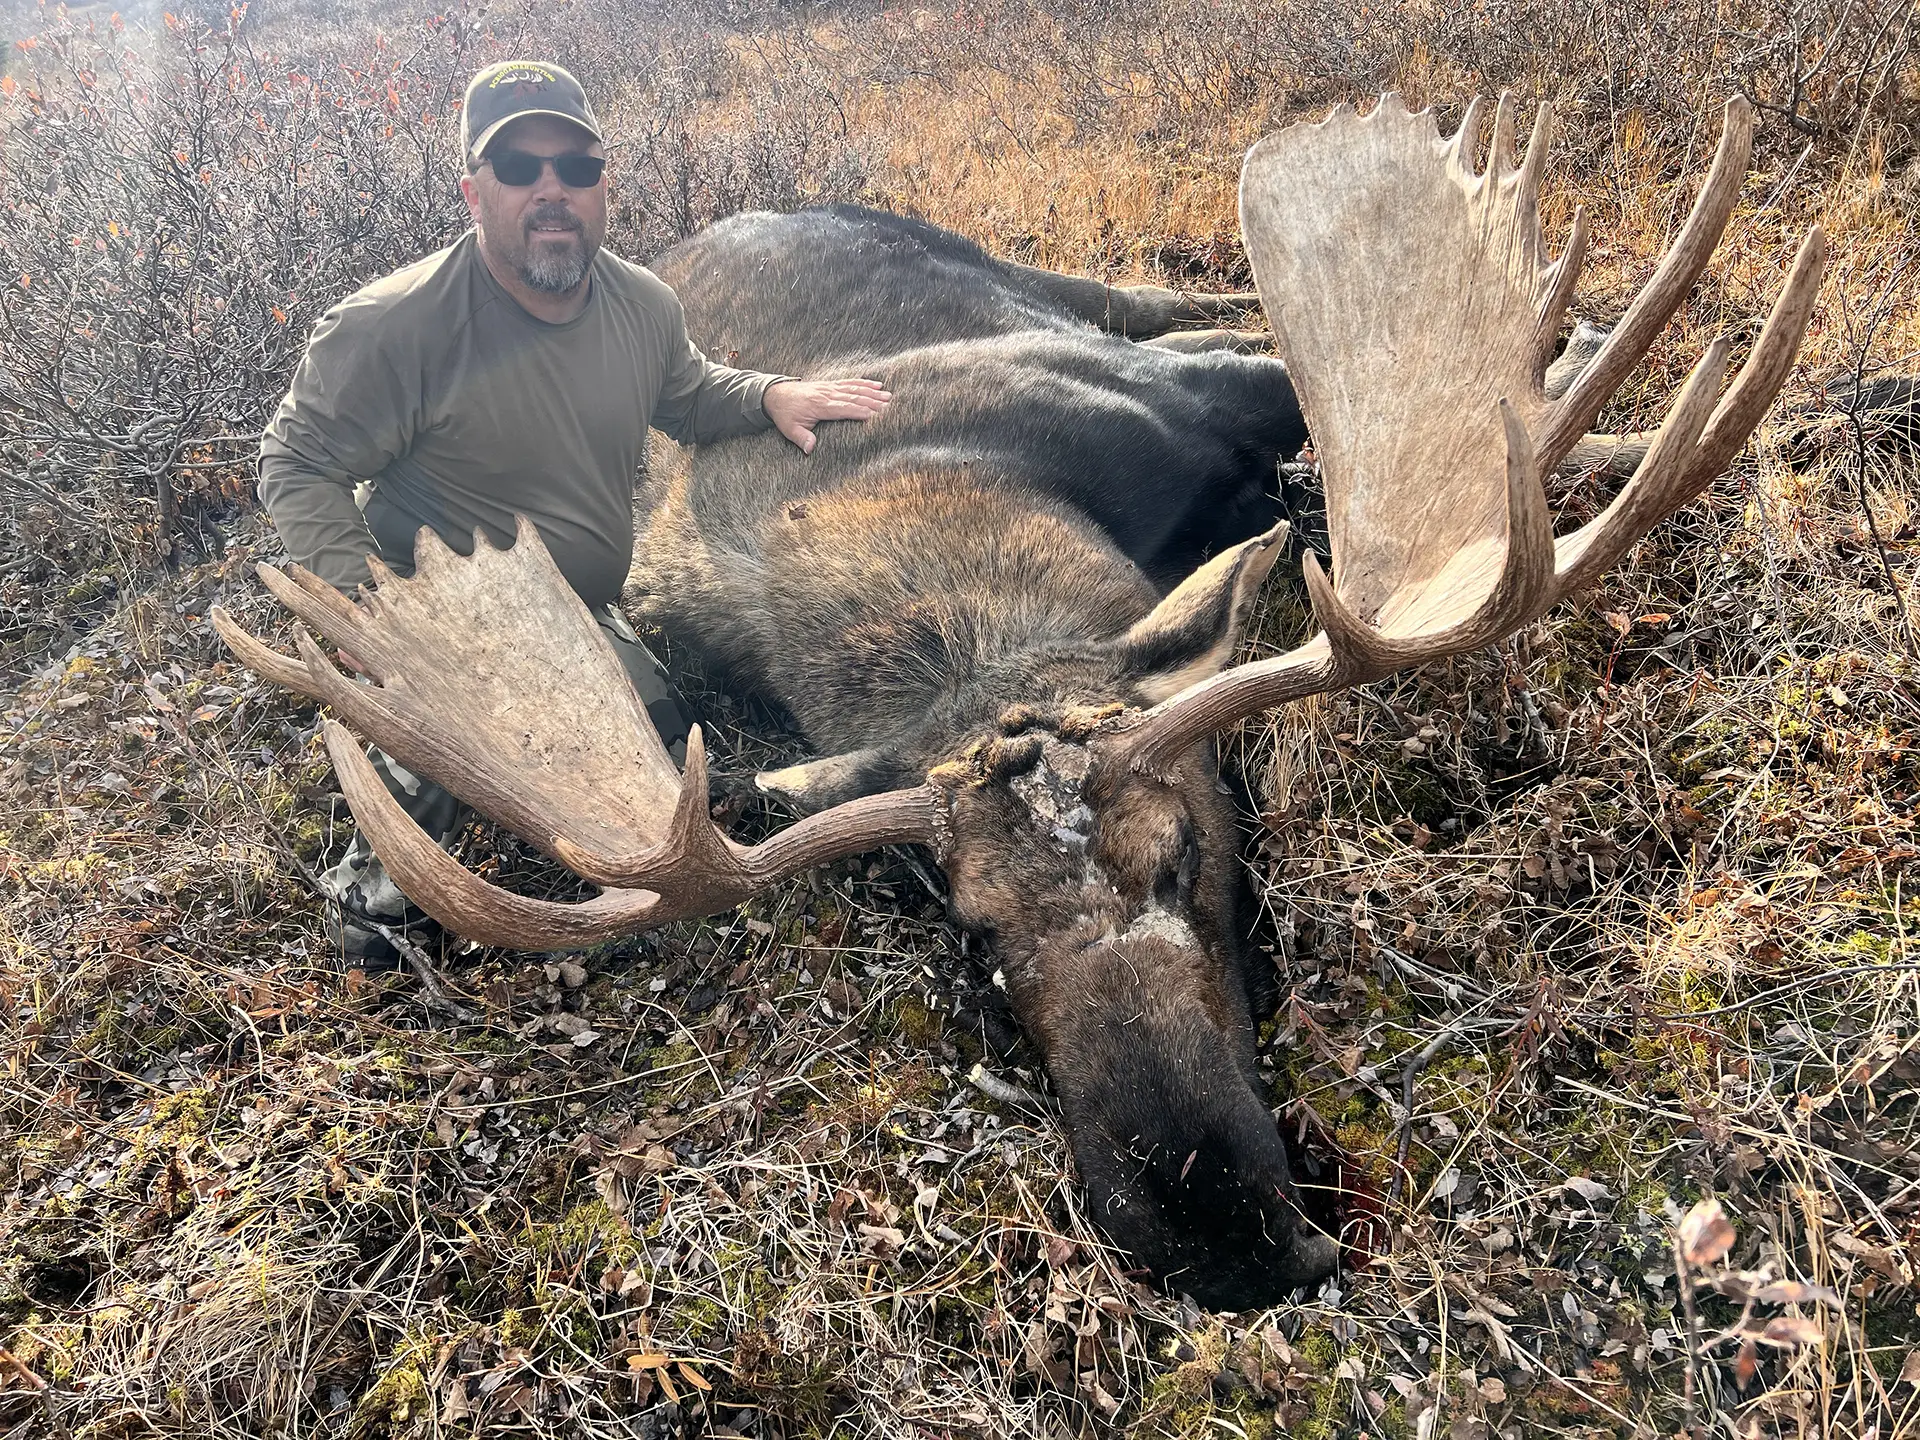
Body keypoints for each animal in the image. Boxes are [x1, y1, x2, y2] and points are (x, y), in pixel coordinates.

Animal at [215, 95, 1821, 1309]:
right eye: (973, 938)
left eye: (1189, 848)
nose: (1225, 1237)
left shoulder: (1180, 390)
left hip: (1057, 289)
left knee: (1183, 293)